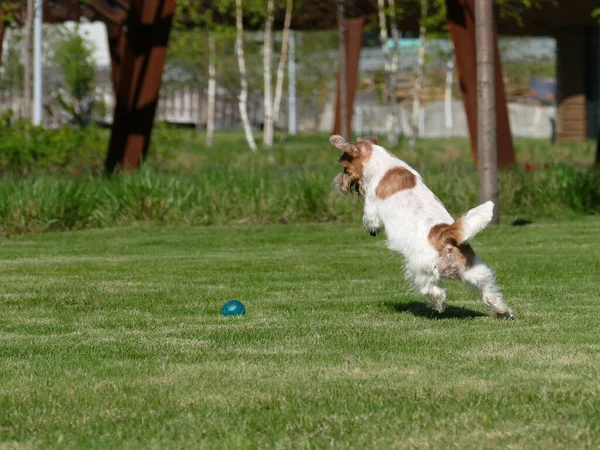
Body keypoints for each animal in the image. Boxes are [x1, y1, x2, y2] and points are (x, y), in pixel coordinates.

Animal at [330, 134, 512, 320]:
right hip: (476, 272)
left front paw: (372, 229)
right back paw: (503, 311)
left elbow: (370, 219)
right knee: (489, 291)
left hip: (419, 269)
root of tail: (445, 236)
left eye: (344, 168)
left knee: (436, 291)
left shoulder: (371, 206)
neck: (383, 162)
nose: (338, 183)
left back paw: (436, 305)